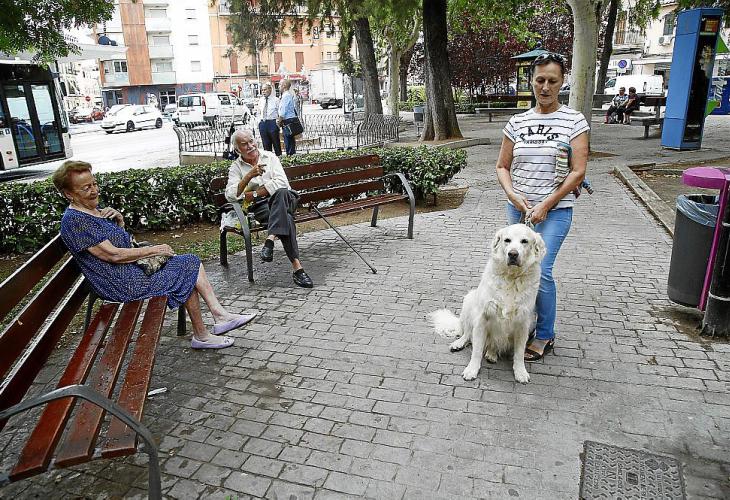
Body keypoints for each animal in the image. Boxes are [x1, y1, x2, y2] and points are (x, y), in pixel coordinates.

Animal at [430, 224, 546, 383]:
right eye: (507, 240)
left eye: (524, 241)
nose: (513, 254)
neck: (511, 278)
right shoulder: (482, 318)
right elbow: (477, 350)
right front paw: (471, 369)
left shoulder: (523, 322)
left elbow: (519, 353)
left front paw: (520, 372)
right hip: (469, 300)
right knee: (467, 333)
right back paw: (459, 343)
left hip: (532, 322)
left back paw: (492, 354)